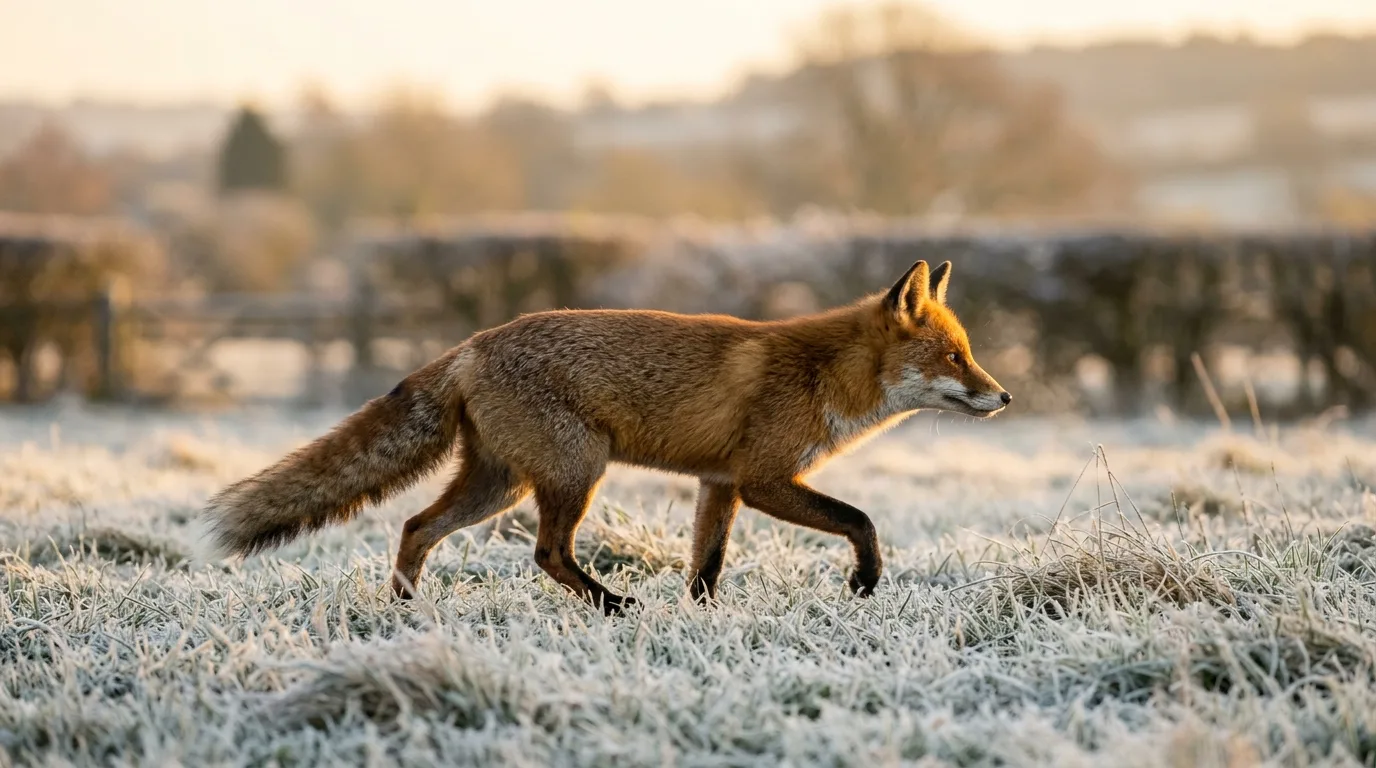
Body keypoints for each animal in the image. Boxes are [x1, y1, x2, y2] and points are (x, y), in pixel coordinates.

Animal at [196, 260, 1009, 614]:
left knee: (415, 527)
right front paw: (865, 581)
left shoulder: (720, 484)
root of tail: (473, 344)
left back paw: (402, 611)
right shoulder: (764, 480)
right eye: (956, 357)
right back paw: (610, 603)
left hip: (499, 484)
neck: (821, 374)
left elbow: (706, 564)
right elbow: (861, 520)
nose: (1004, 396)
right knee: (545, 553)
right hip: (575, 472)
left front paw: (702, 619)